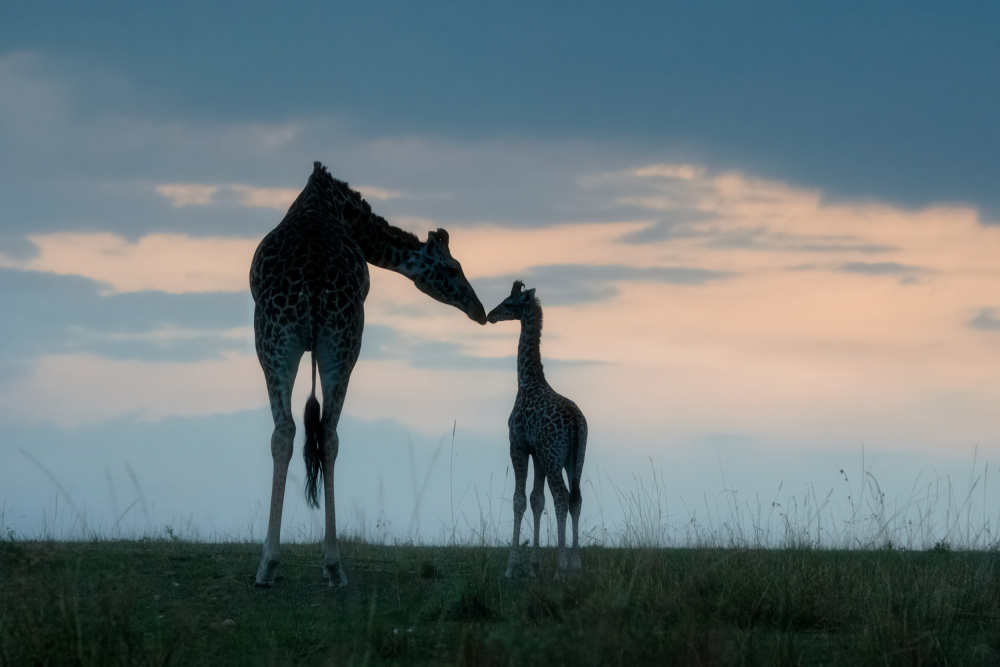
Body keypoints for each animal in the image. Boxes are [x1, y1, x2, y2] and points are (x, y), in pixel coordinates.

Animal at [490, 280, 588, 576]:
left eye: (508, 303)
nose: (490, 315)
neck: (526, 380)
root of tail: (576, 423)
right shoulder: (538, 453)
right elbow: (536, 499)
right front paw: (533, 565)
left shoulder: (518, 445)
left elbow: (519, 499)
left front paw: (512, 567)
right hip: (575, 458)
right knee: (576, 498)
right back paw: (577, 566)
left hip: (555, 456)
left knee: (562, 497)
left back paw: (561, 569)